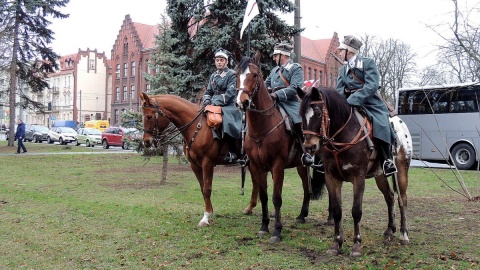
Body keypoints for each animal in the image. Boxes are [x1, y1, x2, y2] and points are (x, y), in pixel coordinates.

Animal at [234, 52, 324, 243]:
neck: (262, 127)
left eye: (255, 75)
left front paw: (277, 231)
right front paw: (264, 226)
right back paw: (302, 215)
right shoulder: (257, 166)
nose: (242, 102)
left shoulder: (277, 166)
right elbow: (264, 196)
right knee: (307, 188)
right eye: (237, 75)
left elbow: (276, 198)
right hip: (301, 165)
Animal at [298, 87, 410, 258]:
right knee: (390, 197)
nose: (310, 146)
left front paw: (356, 245)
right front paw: (336, 243)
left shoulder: (358, 178)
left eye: (317, 113)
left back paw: (404, 234)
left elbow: (356, 211)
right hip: (379, 175)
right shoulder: (331, 178)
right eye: (301, 114)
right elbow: (337, 211)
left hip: (401, 171)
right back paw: (390, 230)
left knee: (402, 199)